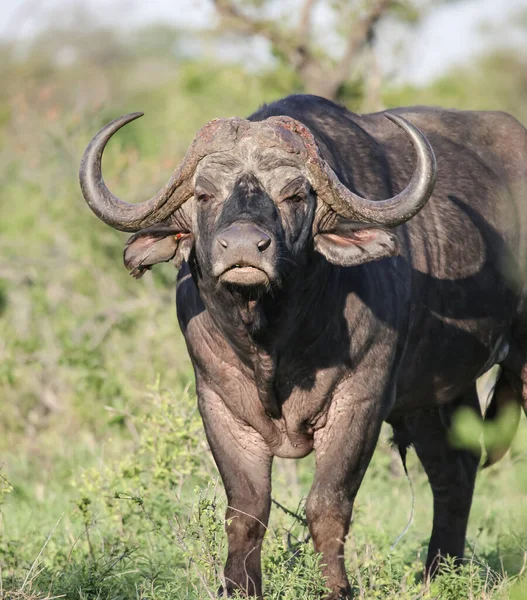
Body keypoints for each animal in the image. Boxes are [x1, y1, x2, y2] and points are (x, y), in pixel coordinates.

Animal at [78, 95, 527, 600]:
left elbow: (327, 506)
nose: (243, 248)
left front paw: (336, 588)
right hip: (434, 396)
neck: (274, 339)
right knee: (455, 470)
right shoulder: (220, 406)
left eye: (293, 195)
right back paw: (438, 574)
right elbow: (246, 510)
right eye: (204, 194)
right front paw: (240, 588)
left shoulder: (360, 402)